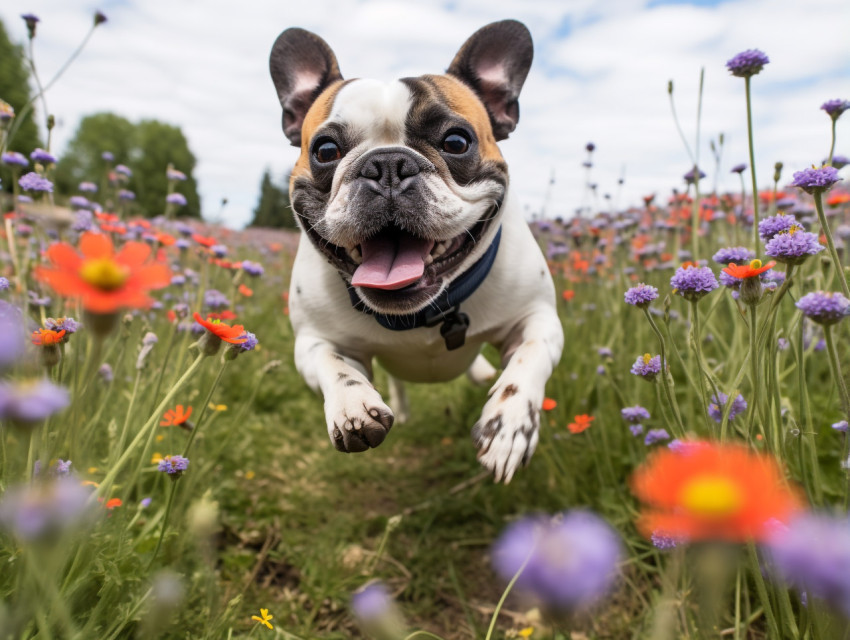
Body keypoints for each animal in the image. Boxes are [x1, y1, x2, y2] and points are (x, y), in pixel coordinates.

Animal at [268, 18, 564, 480]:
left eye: (457, 142)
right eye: (325, 150)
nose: (387, 164)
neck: (422, 313)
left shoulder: (537, 318)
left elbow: (529, 359)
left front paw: (508, 425)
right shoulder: (314, 340)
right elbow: (334, 364)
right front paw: (353, 407)